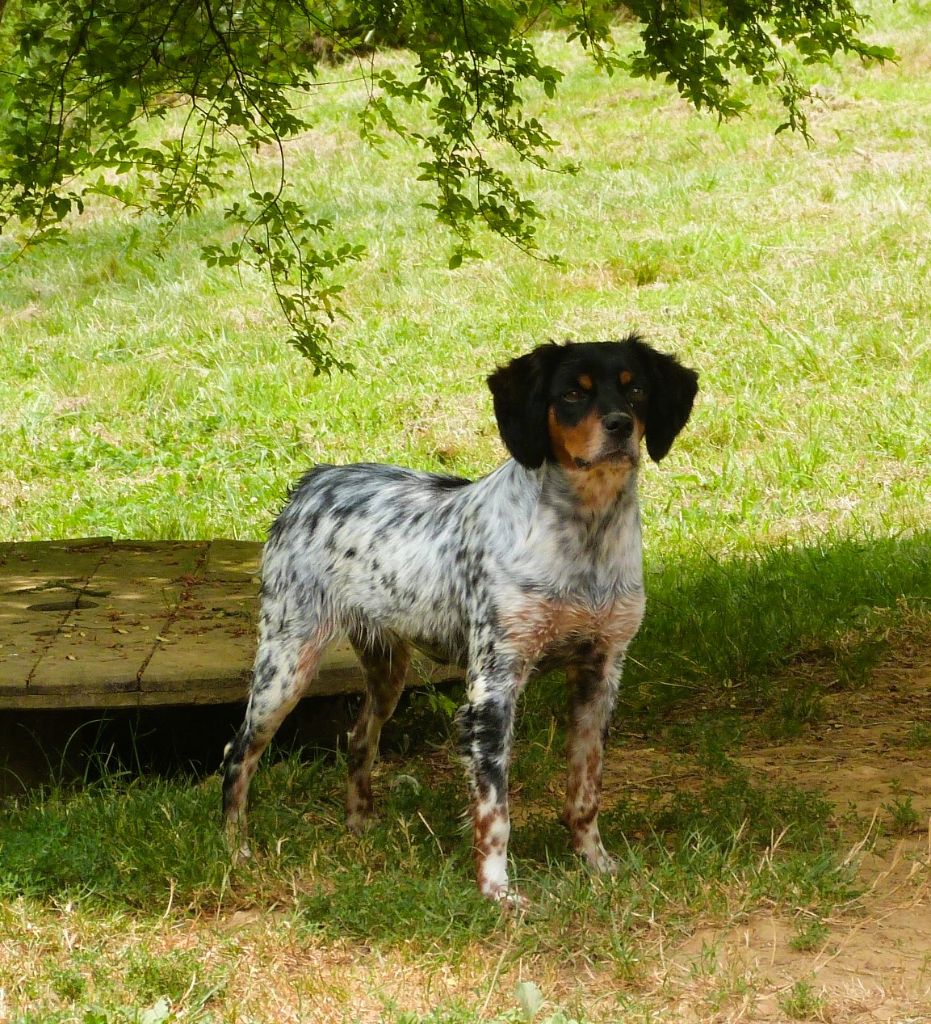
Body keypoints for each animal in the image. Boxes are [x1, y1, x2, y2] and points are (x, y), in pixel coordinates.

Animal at [221, 331, 692, 901]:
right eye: (572, 394)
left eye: (636, 388)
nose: (621, 425)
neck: (586, 537)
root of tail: (313, 481)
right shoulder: (493, 688)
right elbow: (495, 811)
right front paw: (497, 891)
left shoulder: (600, 674)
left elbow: (584, 793)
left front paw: (595, 863)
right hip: (286, 666)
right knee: (238, 751)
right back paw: (235, 847)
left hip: (386, 671)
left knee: (359, 738)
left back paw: (359, 825)